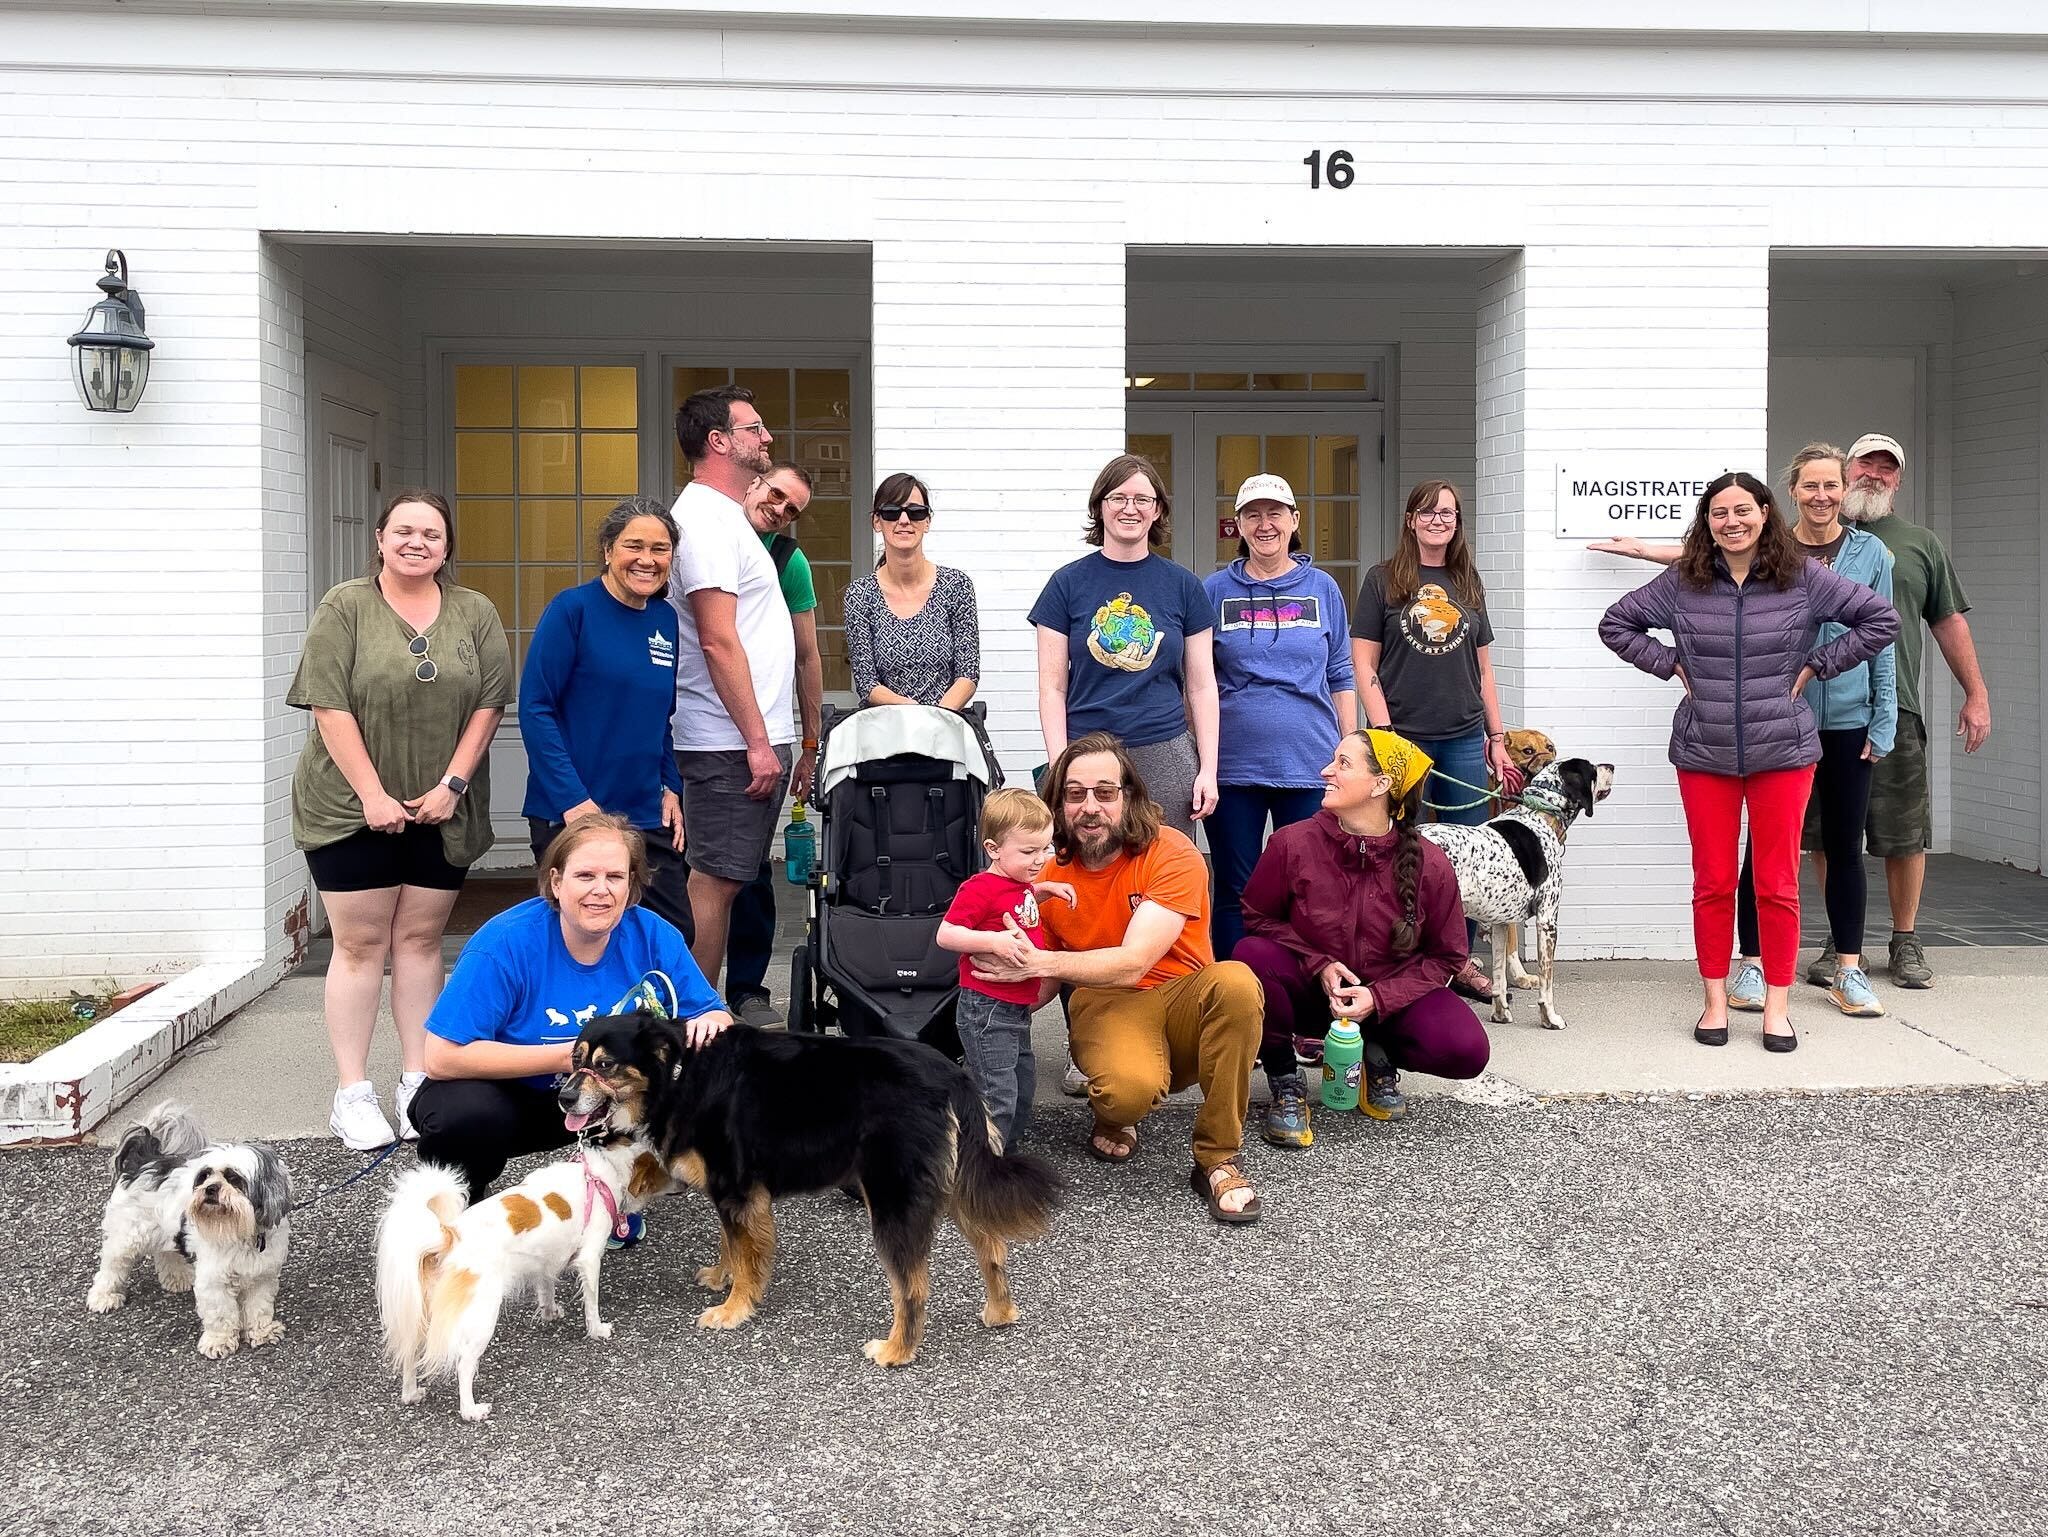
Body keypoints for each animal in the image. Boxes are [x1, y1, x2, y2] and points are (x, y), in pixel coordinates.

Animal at [86, 1101, 294, 1358]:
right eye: (205, 1176)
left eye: (234, 1179)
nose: (211, 1188)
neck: (240, 1230)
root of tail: (144, 1159)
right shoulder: (213, 1280)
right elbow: (221, 1313)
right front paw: (218, 1342)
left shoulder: (261, 1276)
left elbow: (259, 1308)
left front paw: (262, 1332)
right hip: (127, 1237)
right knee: (112, 1266)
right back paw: (103, 1297)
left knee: (164, 1252)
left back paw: (177, 1279)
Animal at [376, 1129, 668, 1422]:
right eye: (661, 1171)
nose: (679, 1182)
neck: (605, 1171)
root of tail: (449, 1235)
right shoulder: (590, 1257)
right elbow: (591, 1303)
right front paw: (597, 1330)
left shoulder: (547, 1258)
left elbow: (547, 1286)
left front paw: (550, 1312)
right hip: (482, 1316)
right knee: (464, 1365)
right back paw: (471, 1410)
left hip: (421, 1312)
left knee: (410, 1353)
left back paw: (411, 1393)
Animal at [561, 1011, 1063, 1368]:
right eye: (575, 1061)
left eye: (605, 1064)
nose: (563, 1097)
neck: (681, 1073)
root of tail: (953, 1076)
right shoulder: (733, 1192)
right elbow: (731, 1244)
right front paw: (723, 1278)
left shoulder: (737, 1187)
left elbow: (746, 1254)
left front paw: (733, 1309)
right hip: (954, 1184)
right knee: (992, 1247)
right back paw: (999, 1313)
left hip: (891, 1197)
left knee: (913, 1287)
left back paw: (896, 1352)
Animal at [1421, 758, 1615, 1030]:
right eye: (1592, 768)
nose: (1612, 766)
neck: (1541, 814)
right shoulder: (1547, 921)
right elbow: (1547, 983)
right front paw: (1550, 1018)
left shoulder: (1500, 923)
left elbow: (1499, 976)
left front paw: (1500, 1014)